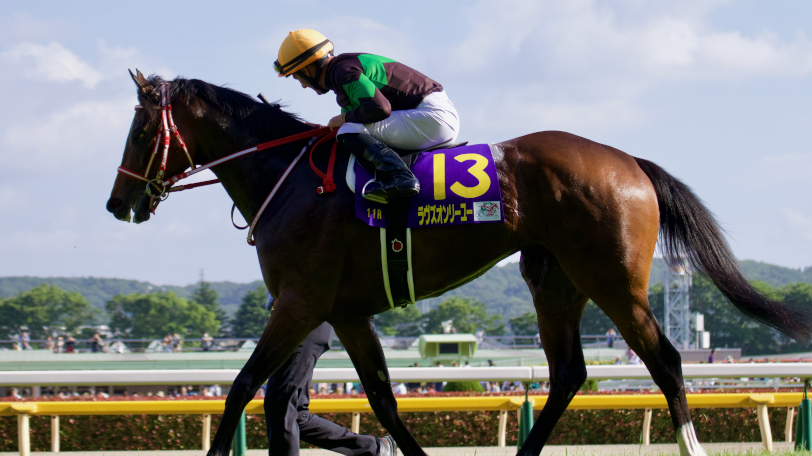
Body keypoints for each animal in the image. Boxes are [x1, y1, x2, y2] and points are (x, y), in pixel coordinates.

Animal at [106, 71, 811, 456]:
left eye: (140, 131)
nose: (118, 203)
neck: (289, 176)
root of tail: (629, 161)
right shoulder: (348, 313)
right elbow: (383, 402)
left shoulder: (300, 302)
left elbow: (241, 387)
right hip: (554, 281)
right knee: (568, 374)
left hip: (612, 279)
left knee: (664, 361)